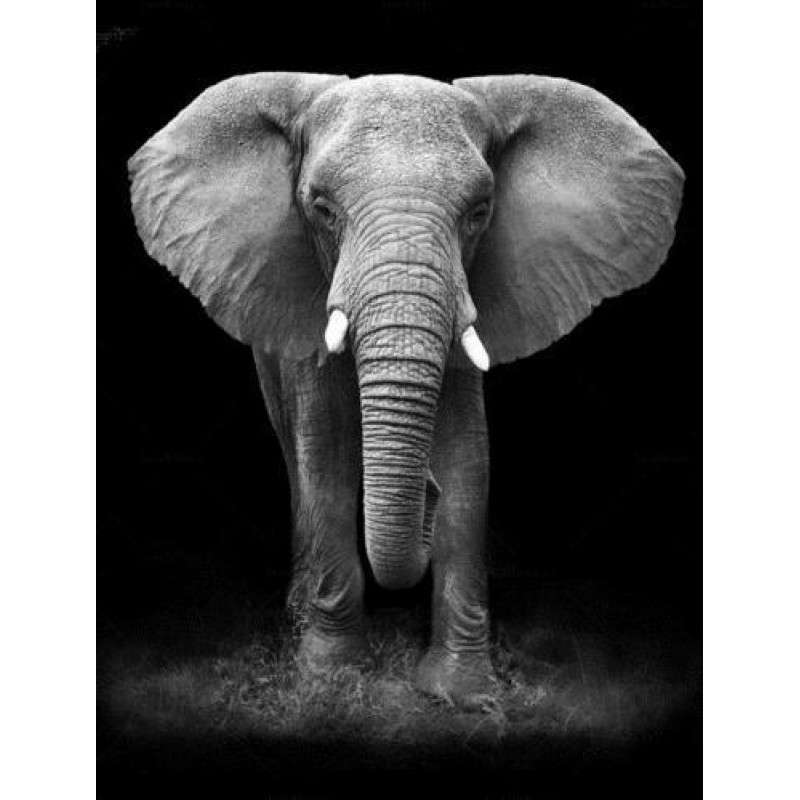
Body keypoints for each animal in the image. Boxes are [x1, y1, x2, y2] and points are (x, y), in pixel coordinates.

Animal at [128, 72, 683, 707]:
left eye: (480, 211)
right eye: (320, 208)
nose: (426, 491)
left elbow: (469, 460)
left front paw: (462, 693)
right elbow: (326, 457)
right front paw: (331, 677)